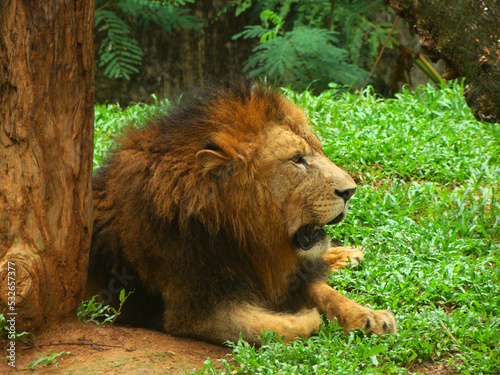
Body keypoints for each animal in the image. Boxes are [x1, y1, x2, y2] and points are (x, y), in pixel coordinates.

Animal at [88, 81, 396, 346]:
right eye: (297, 159)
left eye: (319, 150)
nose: (350, 191)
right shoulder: (192, 312)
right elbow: (274, 327)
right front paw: (308, 317)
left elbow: (327, 293)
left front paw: (370, 317)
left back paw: (347, 254)